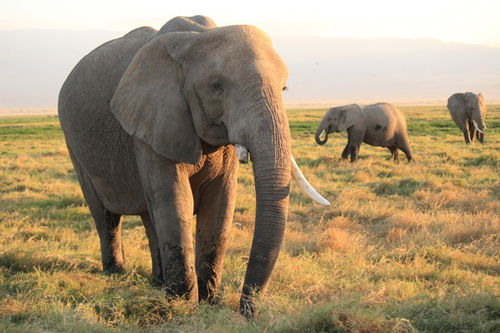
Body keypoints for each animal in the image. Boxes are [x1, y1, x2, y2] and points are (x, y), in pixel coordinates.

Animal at [57, 15, 328, 316]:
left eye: (284, 89)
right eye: (216, 86)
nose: (246, 312)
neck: (192, 40)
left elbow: (220, 203)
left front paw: (209, 302)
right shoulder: (154, 118)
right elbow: (177, 201)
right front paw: (184, 308)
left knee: (149, 215)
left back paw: (157, 283)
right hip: (74, 143)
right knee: (105, 214)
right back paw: (117, 274)